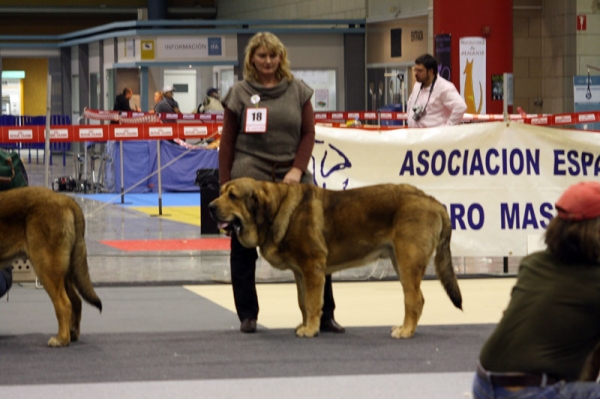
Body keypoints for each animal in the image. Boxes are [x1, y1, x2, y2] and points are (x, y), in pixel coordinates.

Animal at [0, 188, 102, 346]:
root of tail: (67, 200)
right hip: (62, 272)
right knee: (76, 301)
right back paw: (72, 333)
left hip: (46, 267)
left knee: (63, 304)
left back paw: (61, 339)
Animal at [209, 180, 462, 340]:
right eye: (221, 192)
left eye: (232, 196)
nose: (210, 206)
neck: (275, 210)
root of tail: (433, 201)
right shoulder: (301, 273)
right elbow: (303, 302)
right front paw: (305, 325)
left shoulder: (312, 268)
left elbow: (313, 303)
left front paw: (310, 330)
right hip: (399, 262)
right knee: (417, 299)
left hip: (408, 261)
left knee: (414, 299)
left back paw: (406, 331)